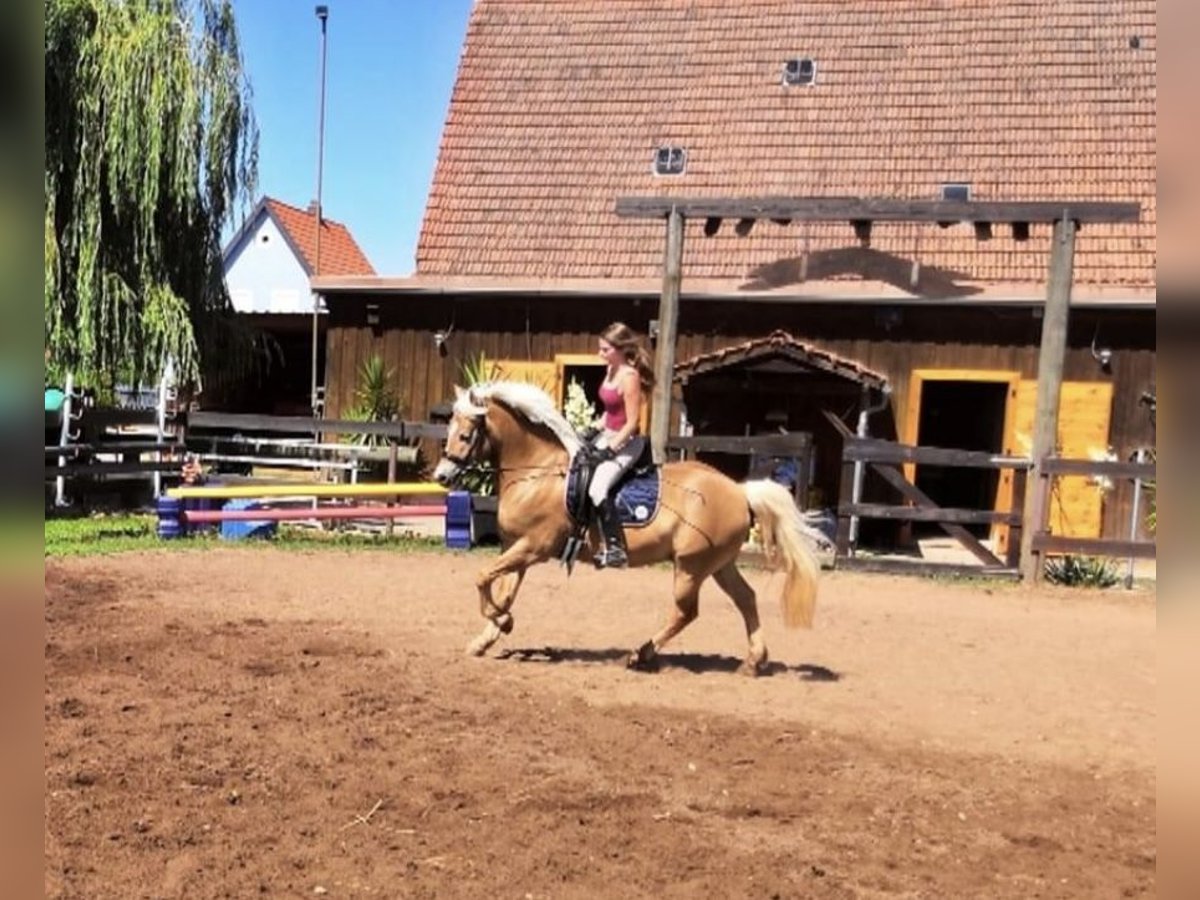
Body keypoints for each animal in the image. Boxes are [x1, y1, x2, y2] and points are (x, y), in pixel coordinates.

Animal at [436, 381, 820, 676]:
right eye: (449, 431)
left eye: (466, 435)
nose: (441, 476)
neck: (537, 471)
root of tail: (739, 491)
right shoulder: (518, 548)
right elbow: (502, 593)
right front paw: (489, 635)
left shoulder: (534, 547)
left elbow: (482, 577)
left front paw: (502, 623)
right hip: (719, 564)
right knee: (746, 599)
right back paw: (754, 661)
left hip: (690, 566)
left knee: (686, 612)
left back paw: (641, 654)